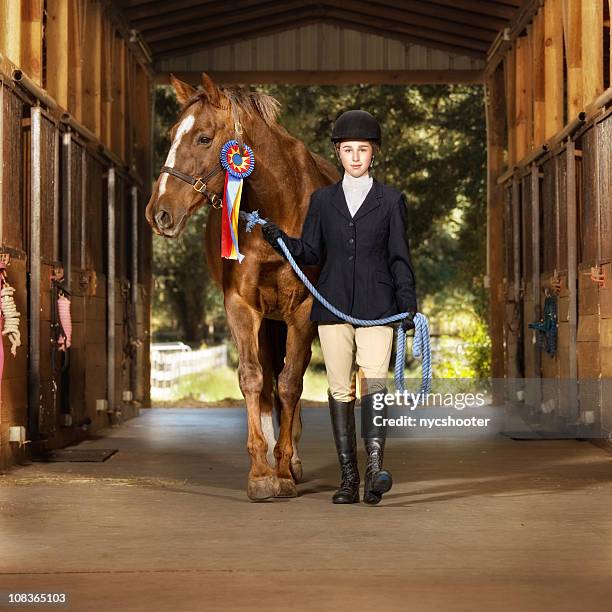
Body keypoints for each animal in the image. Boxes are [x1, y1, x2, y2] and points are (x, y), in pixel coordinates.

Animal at [146, 73, 342, 502]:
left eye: (203, 138)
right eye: (170, 134)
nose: (159, 212)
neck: (280, 213)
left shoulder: (303, 310)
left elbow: (291, 383)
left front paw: (283, 470)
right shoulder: (241, 306)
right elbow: (253, 379)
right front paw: (262, 472)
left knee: (289, 379)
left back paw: (292, 460)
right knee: (269, 379)